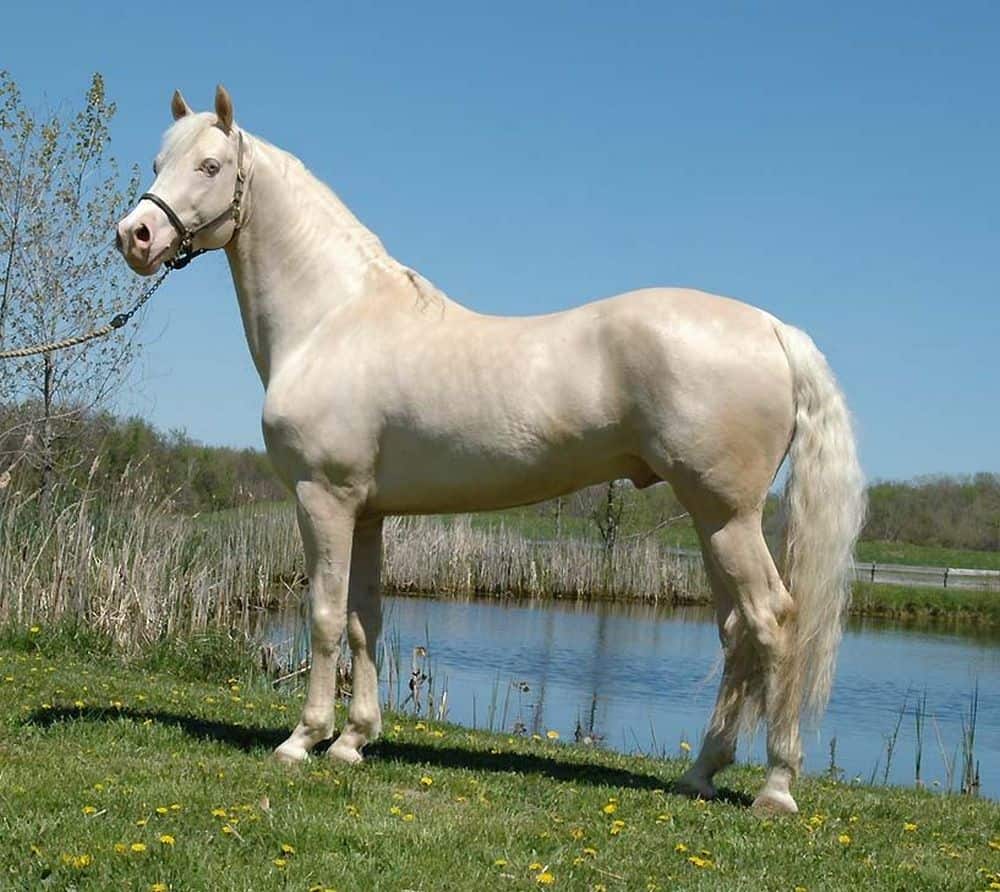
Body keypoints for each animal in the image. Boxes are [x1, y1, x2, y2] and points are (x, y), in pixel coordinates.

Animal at [116, 86, 865, 815]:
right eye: (157, 163)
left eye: (210, 167)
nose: (135, 236)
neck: (333, 320)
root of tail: (772, 329)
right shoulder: (367, 511)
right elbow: (365, 621)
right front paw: (354, 741)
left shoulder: (322, 498)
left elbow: (325, 617)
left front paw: (303, 740)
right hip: (713, 521)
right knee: (737, 631)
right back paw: (701, 774)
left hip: (727, 516)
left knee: (771, 622)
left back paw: (776, 787)